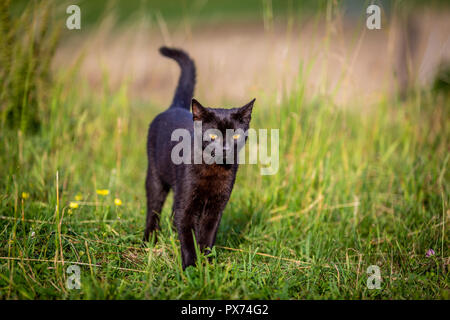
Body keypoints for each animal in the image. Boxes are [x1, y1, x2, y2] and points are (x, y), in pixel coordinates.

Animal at [146, 46, 255, 268]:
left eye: (236, 136)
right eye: (212, 136)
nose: (225, 148)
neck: (214, 169)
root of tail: (175, 107)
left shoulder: (216, 208)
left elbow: (207, 236)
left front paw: (207, 264)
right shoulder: (187, 203)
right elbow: (188, 235)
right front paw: (190, 267)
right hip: (155, 176)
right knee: (153, 207)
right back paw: (149, 239)